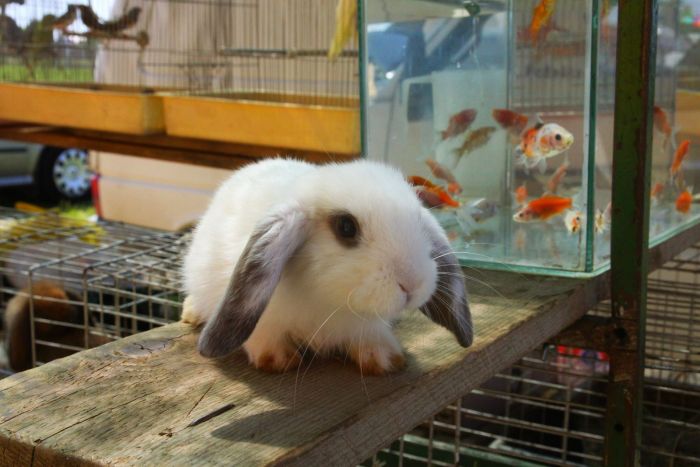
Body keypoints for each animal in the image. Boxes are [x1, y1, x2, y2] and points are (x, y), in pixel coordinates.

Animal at [183, 159, 474, 374]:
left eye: (418, 221)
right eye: (346, 227)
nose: (412, 284)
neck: (330, 302)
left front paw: (386, 359)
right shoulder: (263, 316)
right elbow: (263, 333)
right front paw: (278, 360)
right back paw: (191, 313)